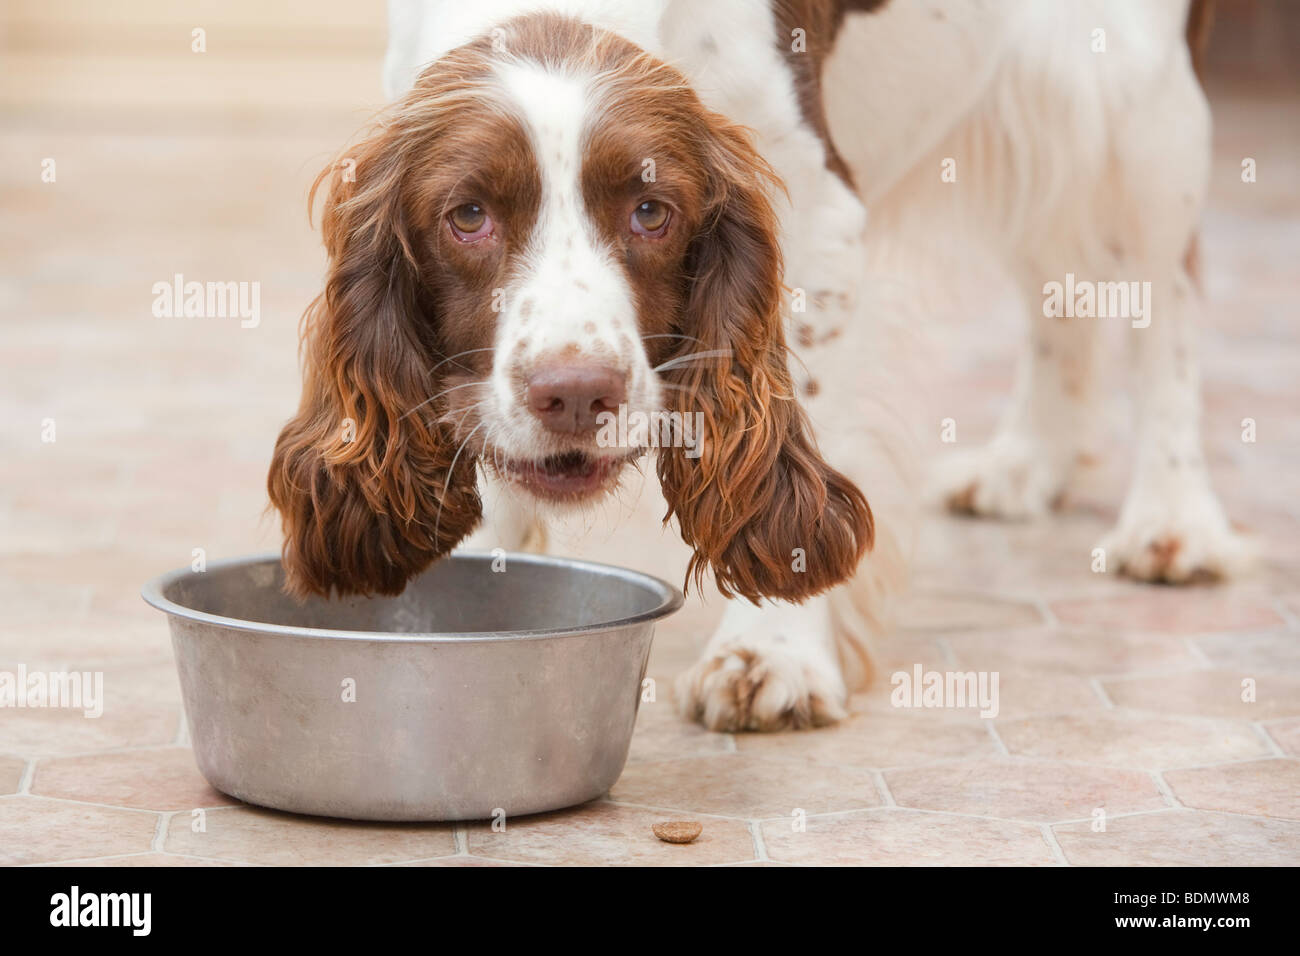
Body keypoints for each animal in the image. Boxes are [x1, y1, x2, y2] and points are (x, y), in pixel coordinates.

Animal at [263, 0, 1237, 733]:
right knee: (1057, 285)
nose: (576, 396)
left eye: (652, 211)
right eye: (467, 216)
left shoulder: (816, 221)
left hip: (1139, 106)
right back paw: (1026, 463)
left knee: (1170, 297)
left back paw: (1174, 517)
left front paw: (777, 655)